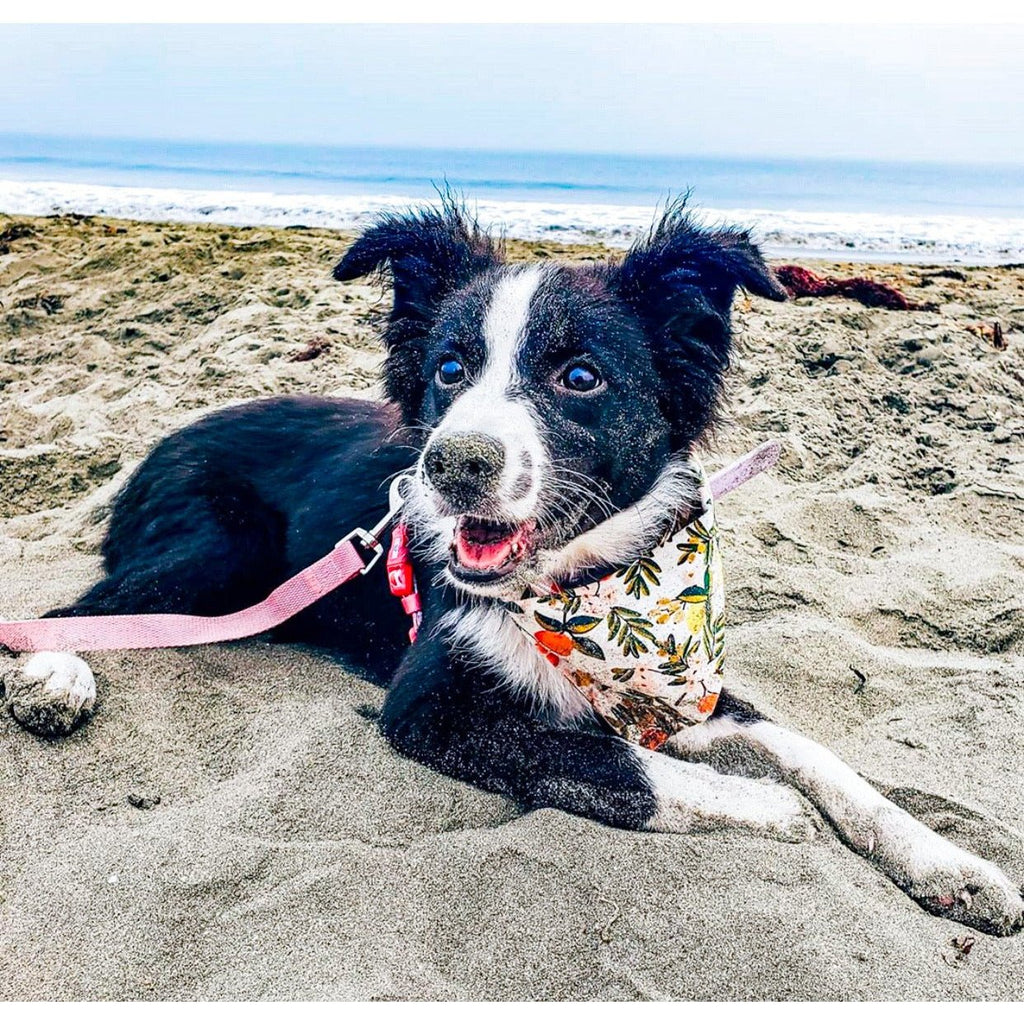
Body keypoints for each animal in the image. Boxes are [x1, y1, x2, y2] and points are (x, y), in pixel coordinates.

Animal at [4, 199, 1019, 937]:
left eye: (580, 377)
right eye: (450, 368)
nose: (451, 466)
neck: (585, 588)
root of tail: (161, 439)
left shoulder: (683, 690)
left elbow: (818, 756)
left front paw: (955, 867)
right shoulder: (430, 705)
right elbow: (612, 761)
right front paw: (760, 806)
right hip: (220, 549)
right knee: (79, 609)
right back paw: (55, 675)